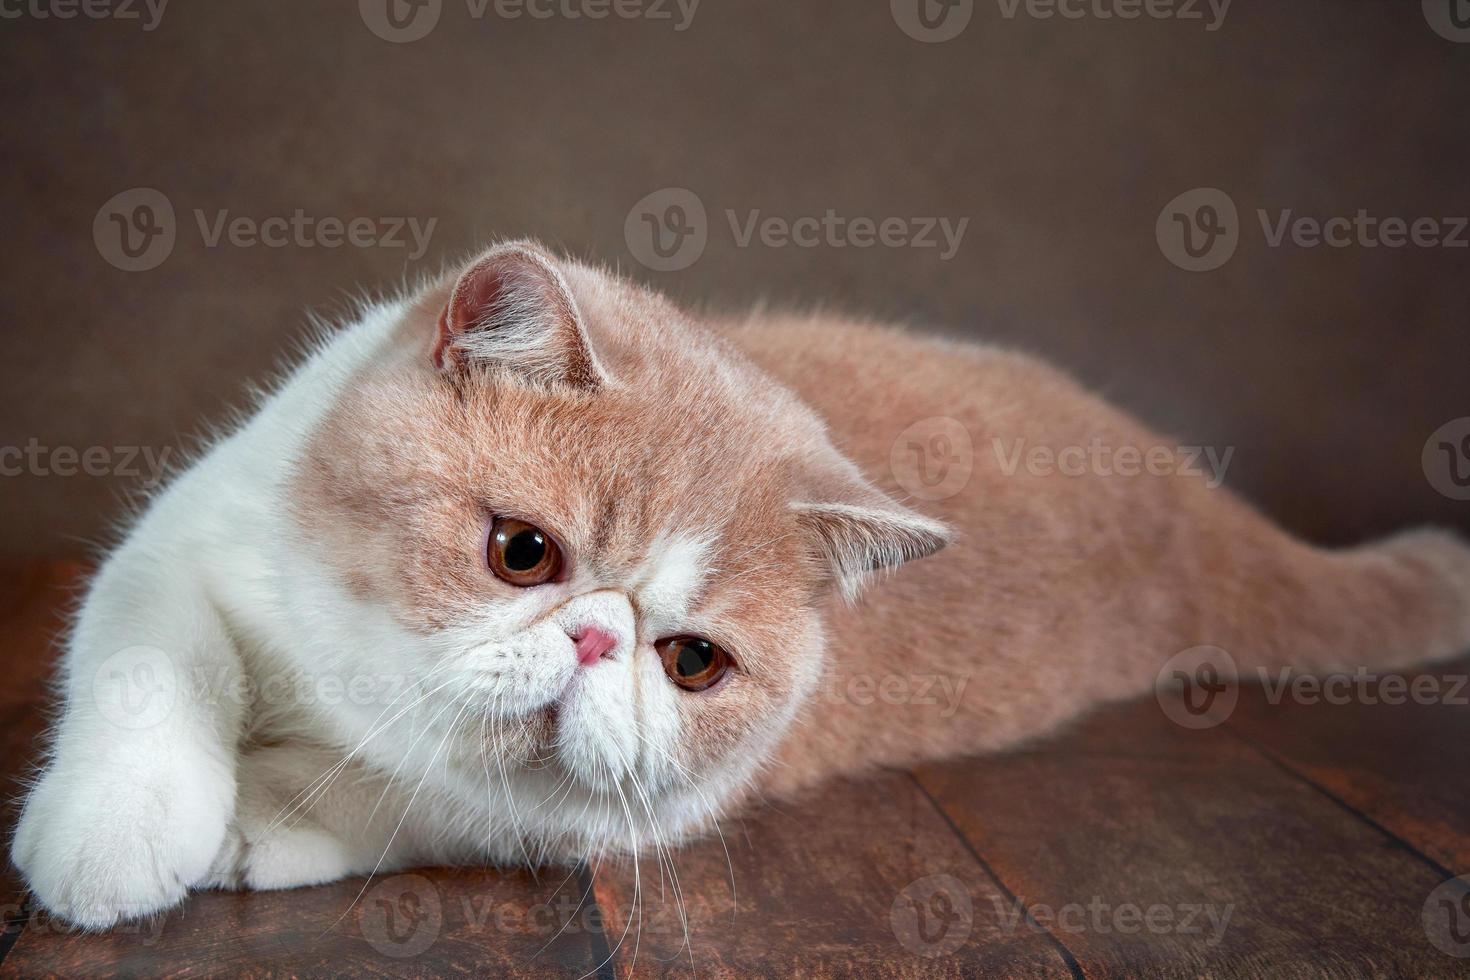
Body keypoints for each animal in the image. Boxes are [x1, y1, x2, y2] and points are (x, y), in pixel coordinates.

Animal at [11, 239, 1470, 928]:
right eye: (523, 553)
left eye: (691, 661)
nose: (596, 641)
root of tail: (1182, 487)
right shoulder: (187, 540)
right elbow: (146, 663)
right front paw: (120, 827)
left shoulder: (611, 813)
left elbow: (416, 795)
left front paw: (269, 813)